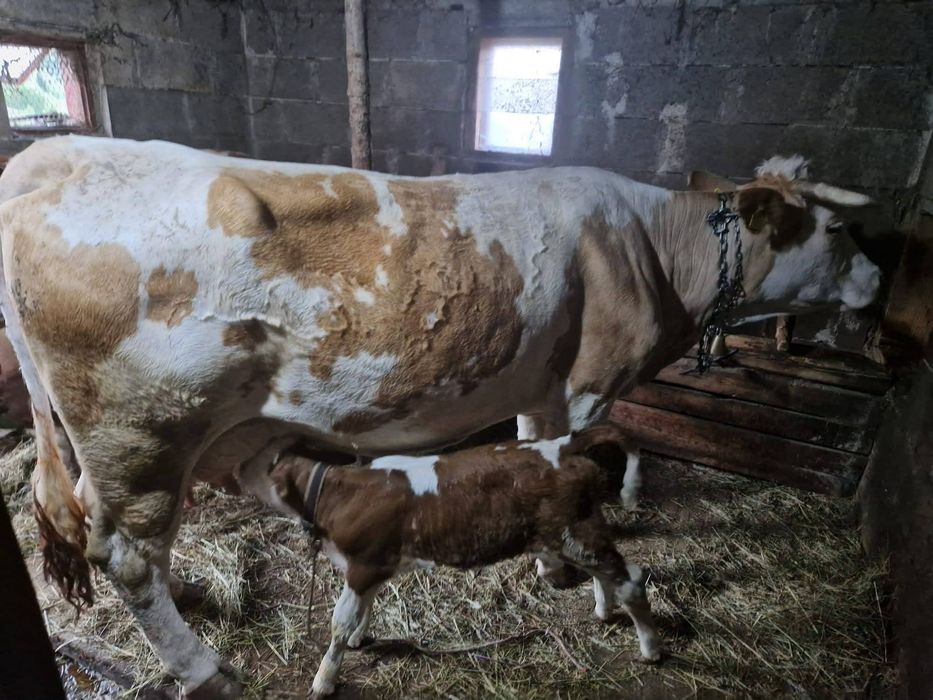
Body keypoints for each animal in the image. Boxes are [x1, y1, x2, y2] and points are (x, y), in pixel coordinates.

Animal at [244, 424, 656, 697]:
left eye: (264, 464)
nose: (237, 476)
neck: (334, 492)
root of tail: (562, 446)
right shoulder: (376, 566)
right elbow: (365, 608)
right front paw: (361, 638)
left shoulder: (363, 564)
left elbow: (339, 622)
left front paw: (324, 679)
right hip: (573, 533)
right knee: (605, 573)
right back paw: (603, 611)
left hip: (571, 534)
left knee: (632, 580)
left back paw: (651, 649)